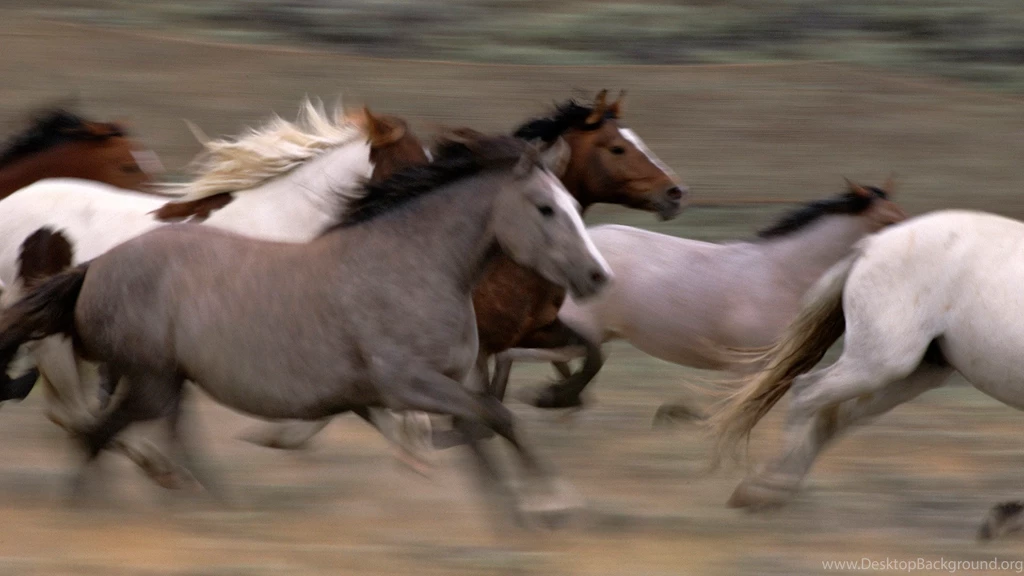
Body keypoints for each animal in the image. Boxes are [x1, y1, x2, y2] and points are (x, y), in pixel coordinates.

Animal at [243, 89, 689, 453]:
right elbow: (482, 410)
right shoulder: (480, 345)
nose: (675, 193)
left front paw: (555, 396)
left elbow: (593, 353)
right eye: (617, 148)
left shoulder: (529, 331)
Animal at [710, 209, 1024, 540]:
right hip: (881, 363)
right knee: (806, 392)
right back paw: (771, 488)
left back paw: (763, 491)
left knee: (832, 415)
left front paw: (1006, 517)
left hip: (911, 375)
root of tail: (871, 244)